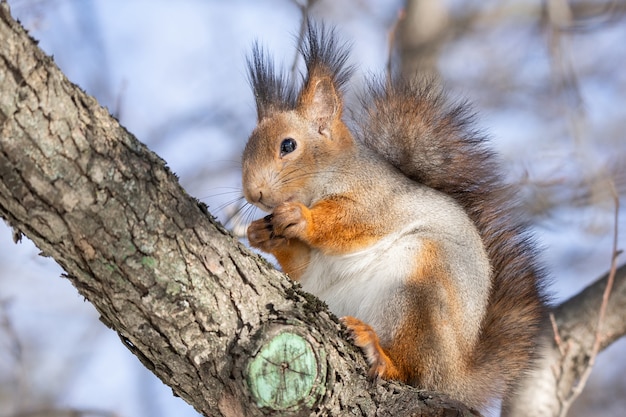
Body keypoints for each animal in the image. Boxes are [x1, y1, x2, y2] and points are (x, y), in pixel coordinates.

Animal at [241, 22, 544, 410]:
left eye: (288, 146)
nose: (253, 193)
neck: (328, 175)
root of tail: (455, 378)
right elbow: (302, 265)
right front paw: (261, 234)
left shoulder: (378, 198)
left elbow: (354, 220)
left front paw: (302, 219)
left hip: (421, 290)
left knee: (413, 369)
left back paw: (380, 353)